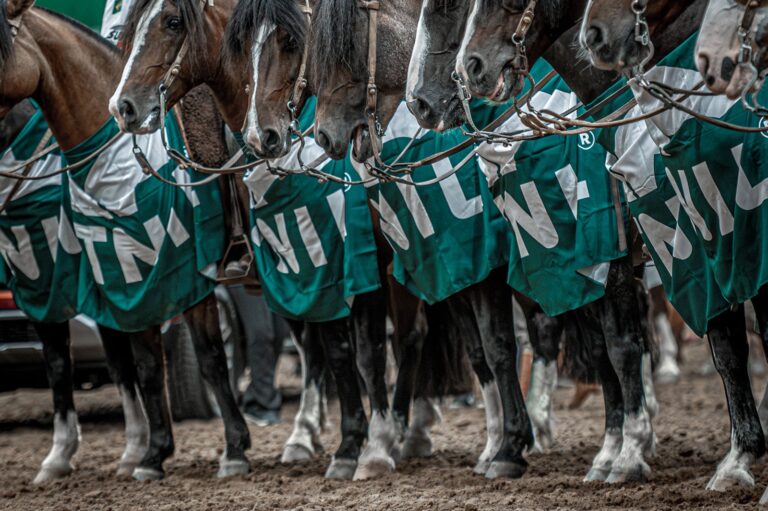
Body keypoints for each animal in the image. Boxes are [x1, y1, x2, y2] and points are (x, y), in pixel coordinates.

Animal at [0, 0, 251, 481]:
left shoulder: (188, 279)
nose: (127, 109)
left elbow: (209, 358)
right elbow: (137, 366)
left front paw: (234, 450)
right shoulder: (119, 277)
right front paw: (149, 454)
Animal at [108, 0, 478, 481]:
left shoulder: (359, 267)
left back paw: (405, 429)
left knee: (412, 337)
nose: (124, 107)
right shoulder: (282, 272)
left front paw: (363, 447)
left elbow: (359, 352)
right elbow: (294, 351)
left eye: (172, 22)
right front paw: (298, 439)